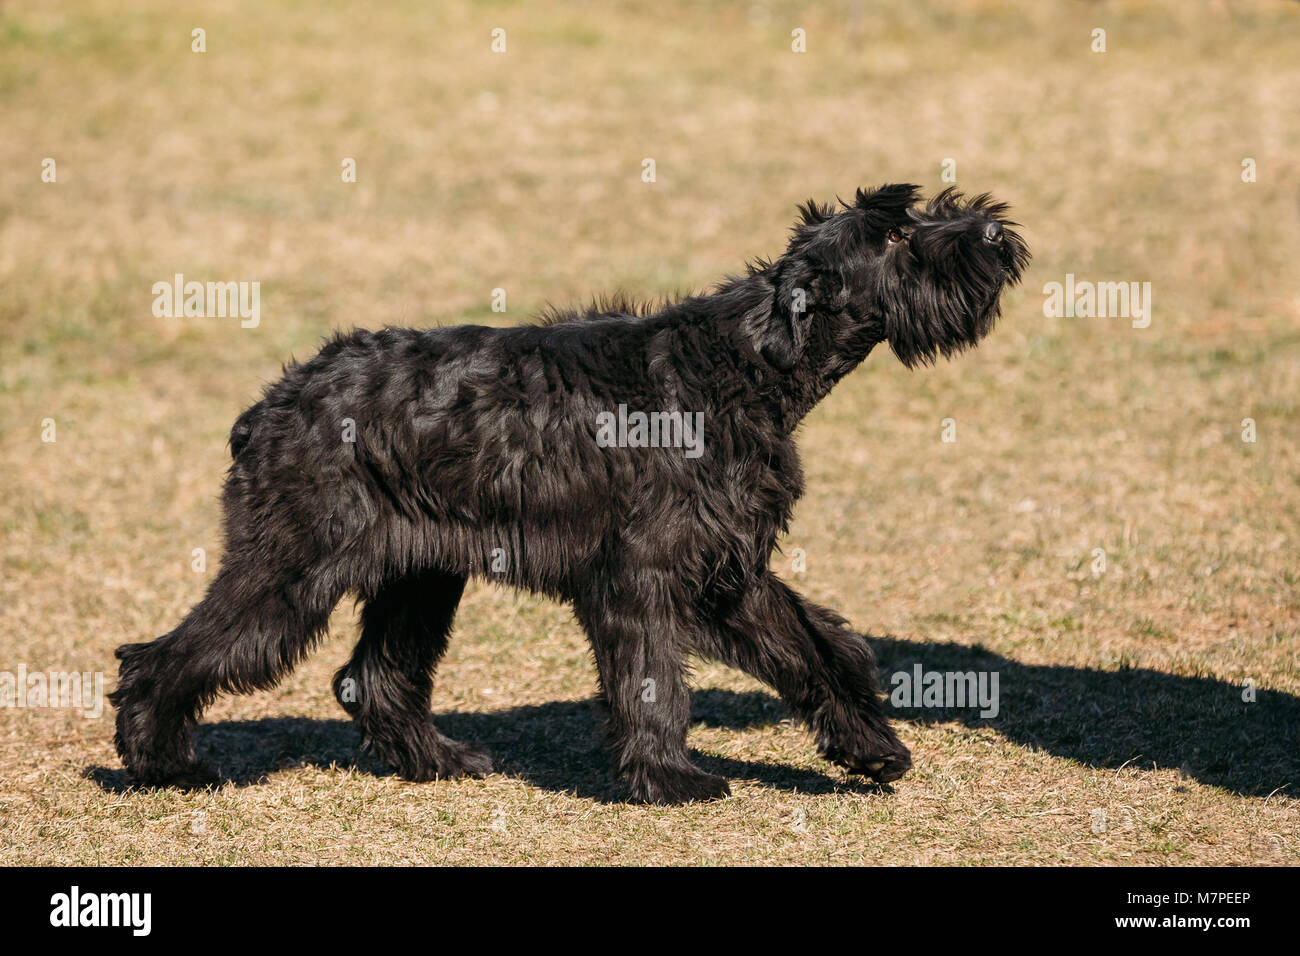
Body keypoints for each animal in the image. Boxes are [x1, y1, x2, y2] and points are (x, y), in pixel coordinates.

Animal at [111, 183, 1024, 806]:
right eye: (898, 232)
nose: (992, 228)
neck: (743, 366)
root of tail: (274, 402)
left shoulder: (726, 570)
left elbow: (817, 648)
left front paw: (871, 747)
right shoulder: (644, 576)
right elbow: (653, 676)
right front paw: (670, 778)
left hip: (418, 578)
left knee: (374, 677)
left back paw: (439, 762)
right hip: (291, 571)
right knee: (168, 657)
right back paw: (164, 764)